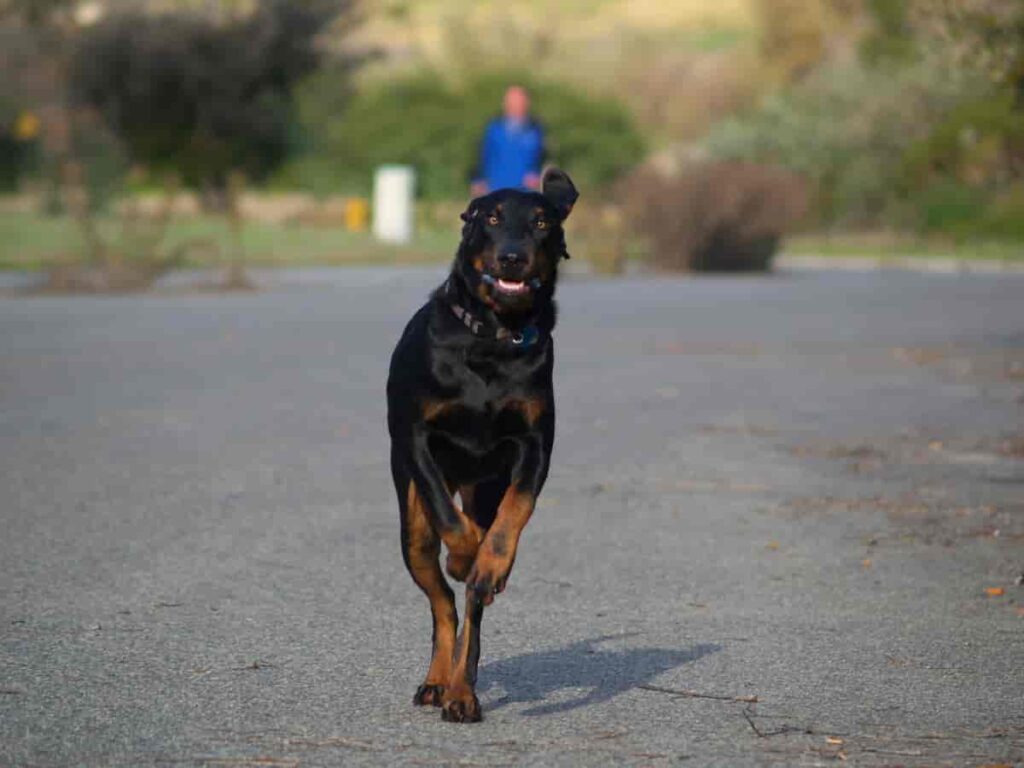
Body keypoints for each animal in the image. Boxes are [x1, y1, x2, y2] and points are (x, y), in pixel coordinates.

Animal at [385, 166, 581, 720]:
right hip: (411, 529)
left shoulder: (535, 442)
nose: (512, 256)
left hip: (482, 487)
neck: (494, 337)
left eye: (541, 221)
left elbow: (515, 511)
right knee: (442, 603)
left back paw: (460, 691)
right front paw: (463, 555)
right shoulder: (418, 437)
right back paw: (437, 680)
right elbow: (447, 517)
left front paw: (490, 562)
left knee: (469, 611)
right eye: (489, 218)